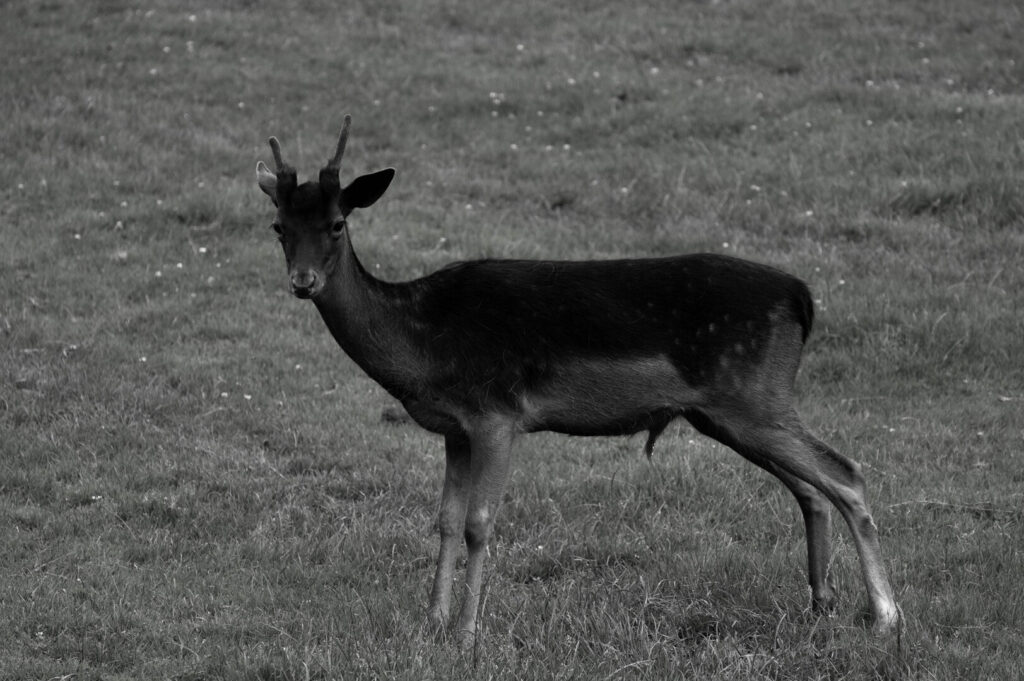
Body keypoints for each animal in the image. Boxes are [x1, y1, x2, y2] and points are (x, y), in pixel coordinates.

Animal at [253, 115, 897, 643]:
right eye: (278, 226)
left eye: (338, 223)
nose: (303, 281)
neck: (423, 347)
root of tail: (802, 298)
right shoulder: (455, 429)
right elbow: (443, 520)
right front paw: (430, 621)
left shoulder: (497, 412)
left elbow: (479, 524)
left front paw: (466, 632)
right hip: (731, 411)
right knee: (811, 488)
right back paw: (822, 602)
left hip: (752, 394)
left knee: (846, 474)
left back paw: (886, 615)